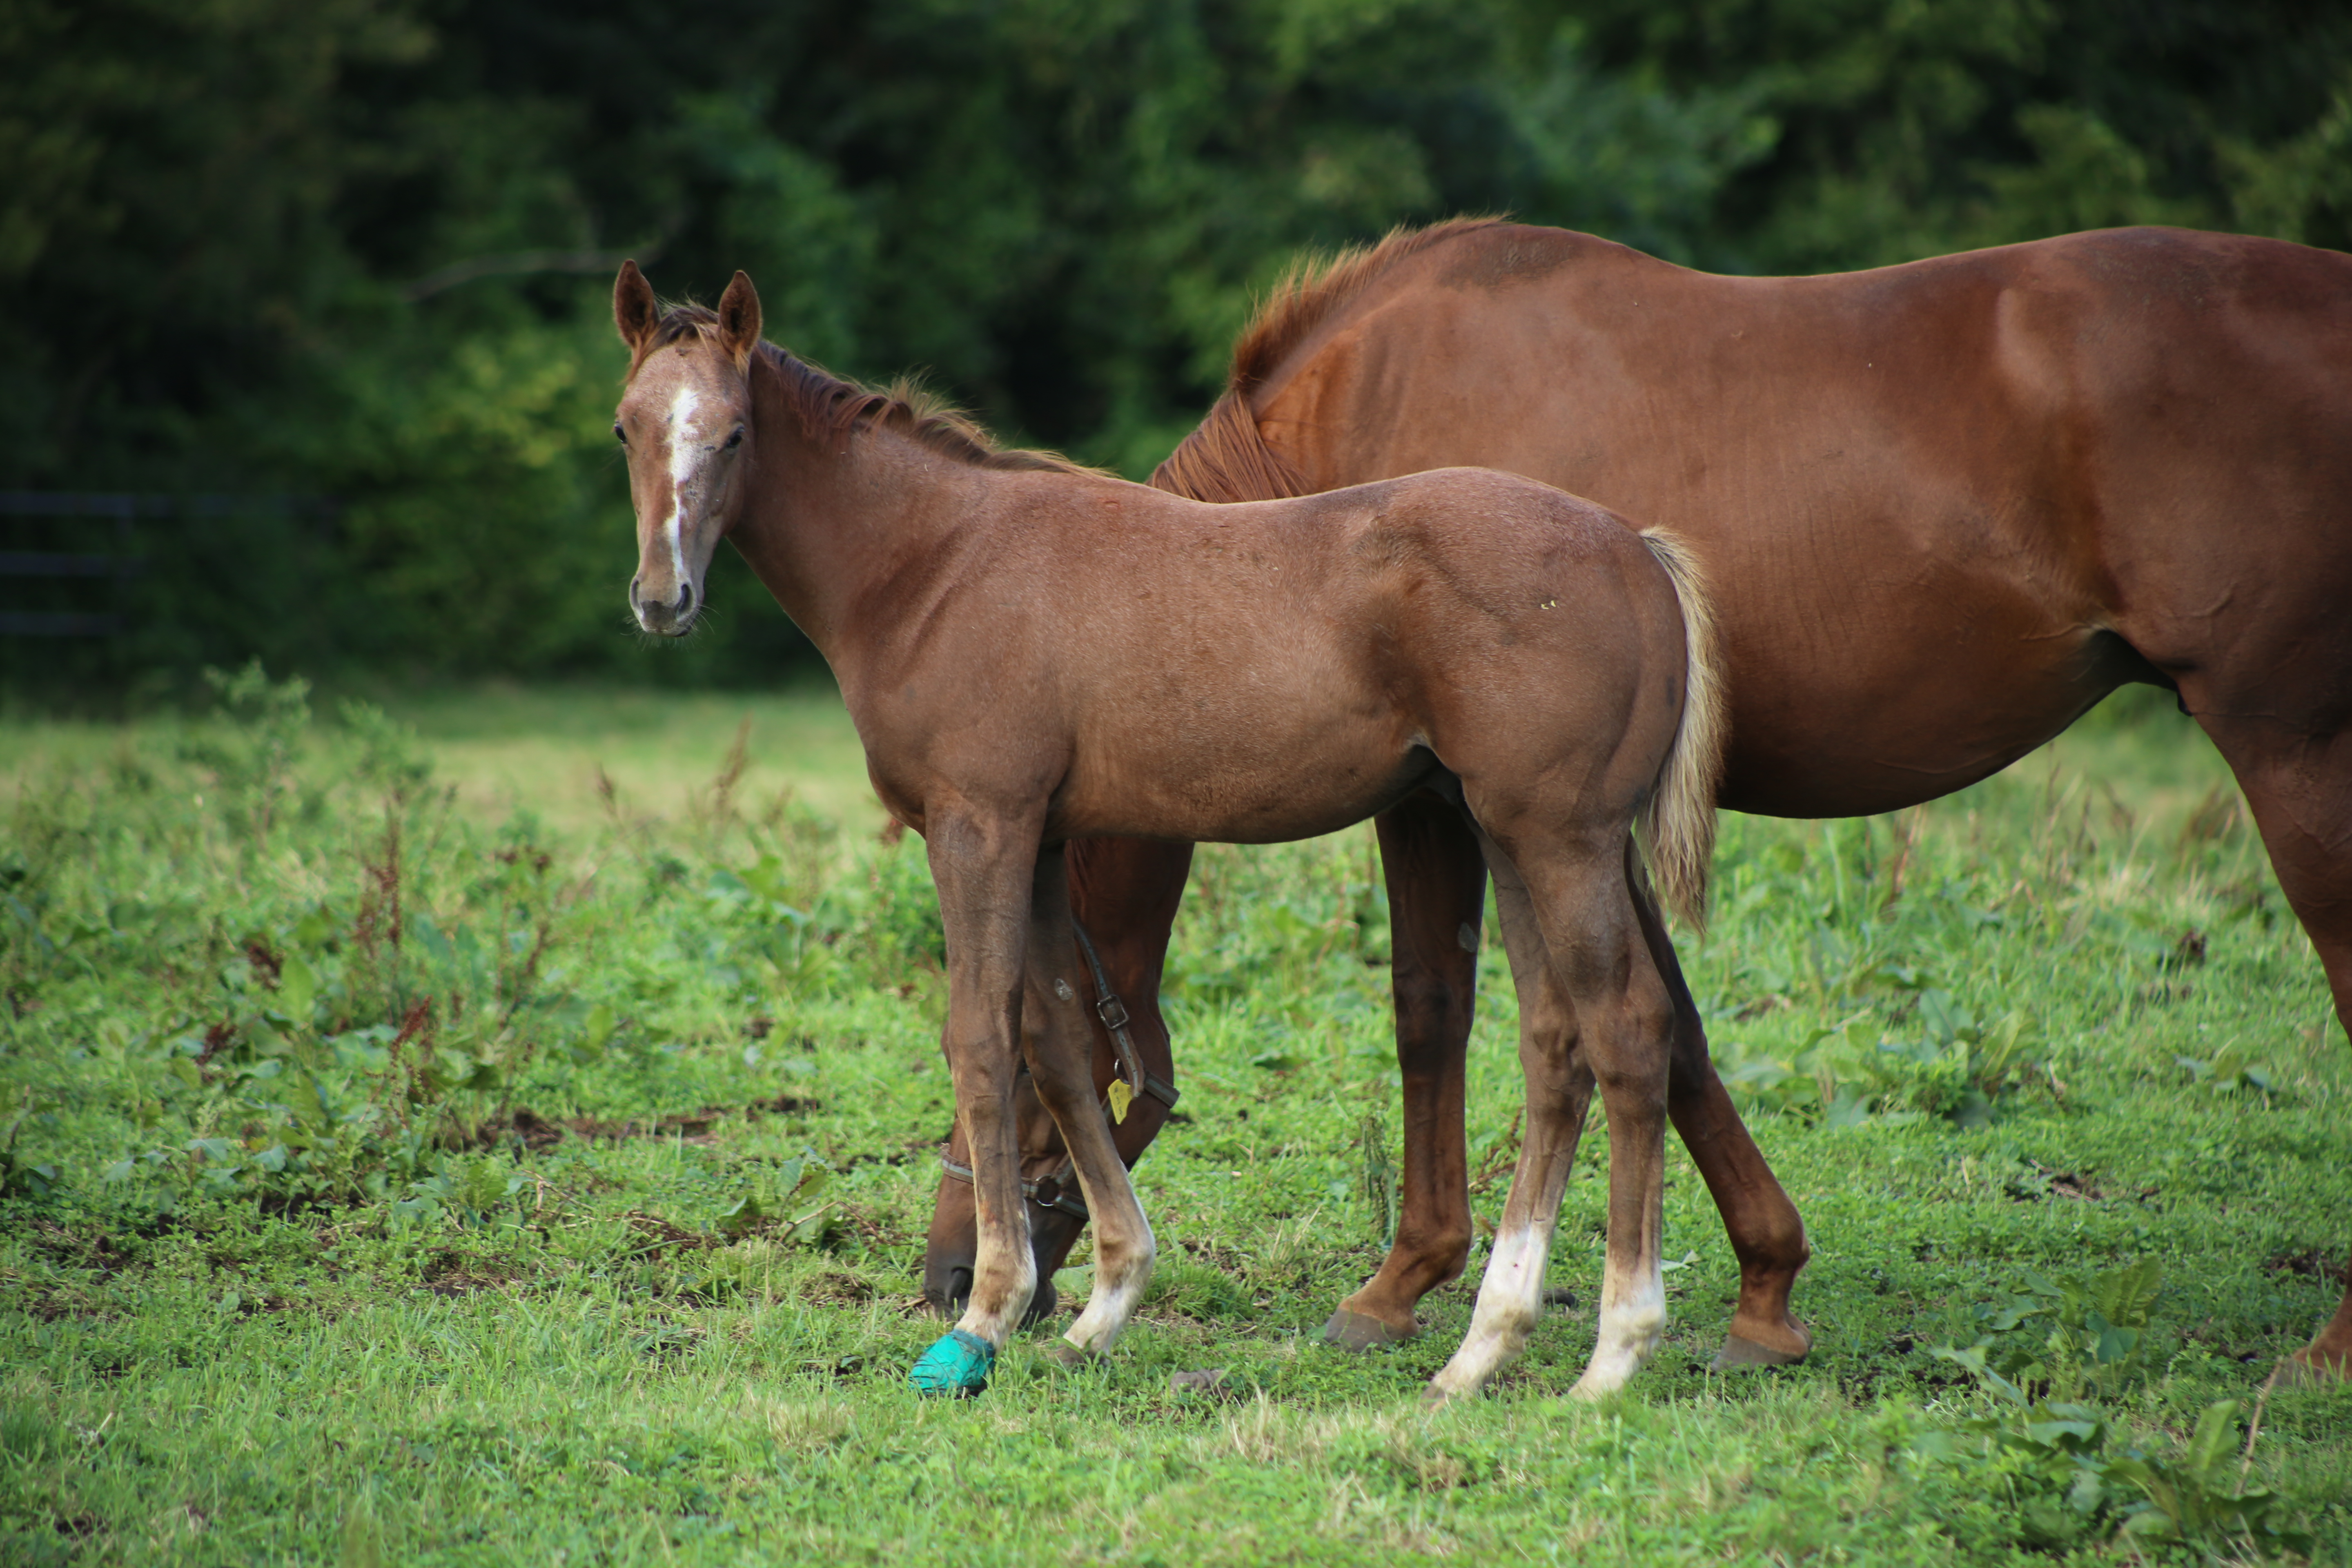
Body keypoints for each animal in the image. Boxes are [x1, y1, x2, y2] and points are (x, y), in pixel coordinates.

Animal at [611, 263, 1731, 1401]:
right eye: (626, 429)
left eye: (734, 434)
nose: (662, 598)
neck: (934, 565)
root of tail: (1637, 552)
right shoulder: (1042, 843)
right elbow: (1058, 1048)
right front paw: (1102, 1305)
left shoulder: (977, 826)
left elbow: (979, 1038)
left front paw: (980, 1323)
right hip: (1506, 835)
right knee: (1555, 1047)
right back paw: (1480, 1349)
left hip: (1564, 840)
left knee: (1628, 1031)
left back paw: (1613, 1352)